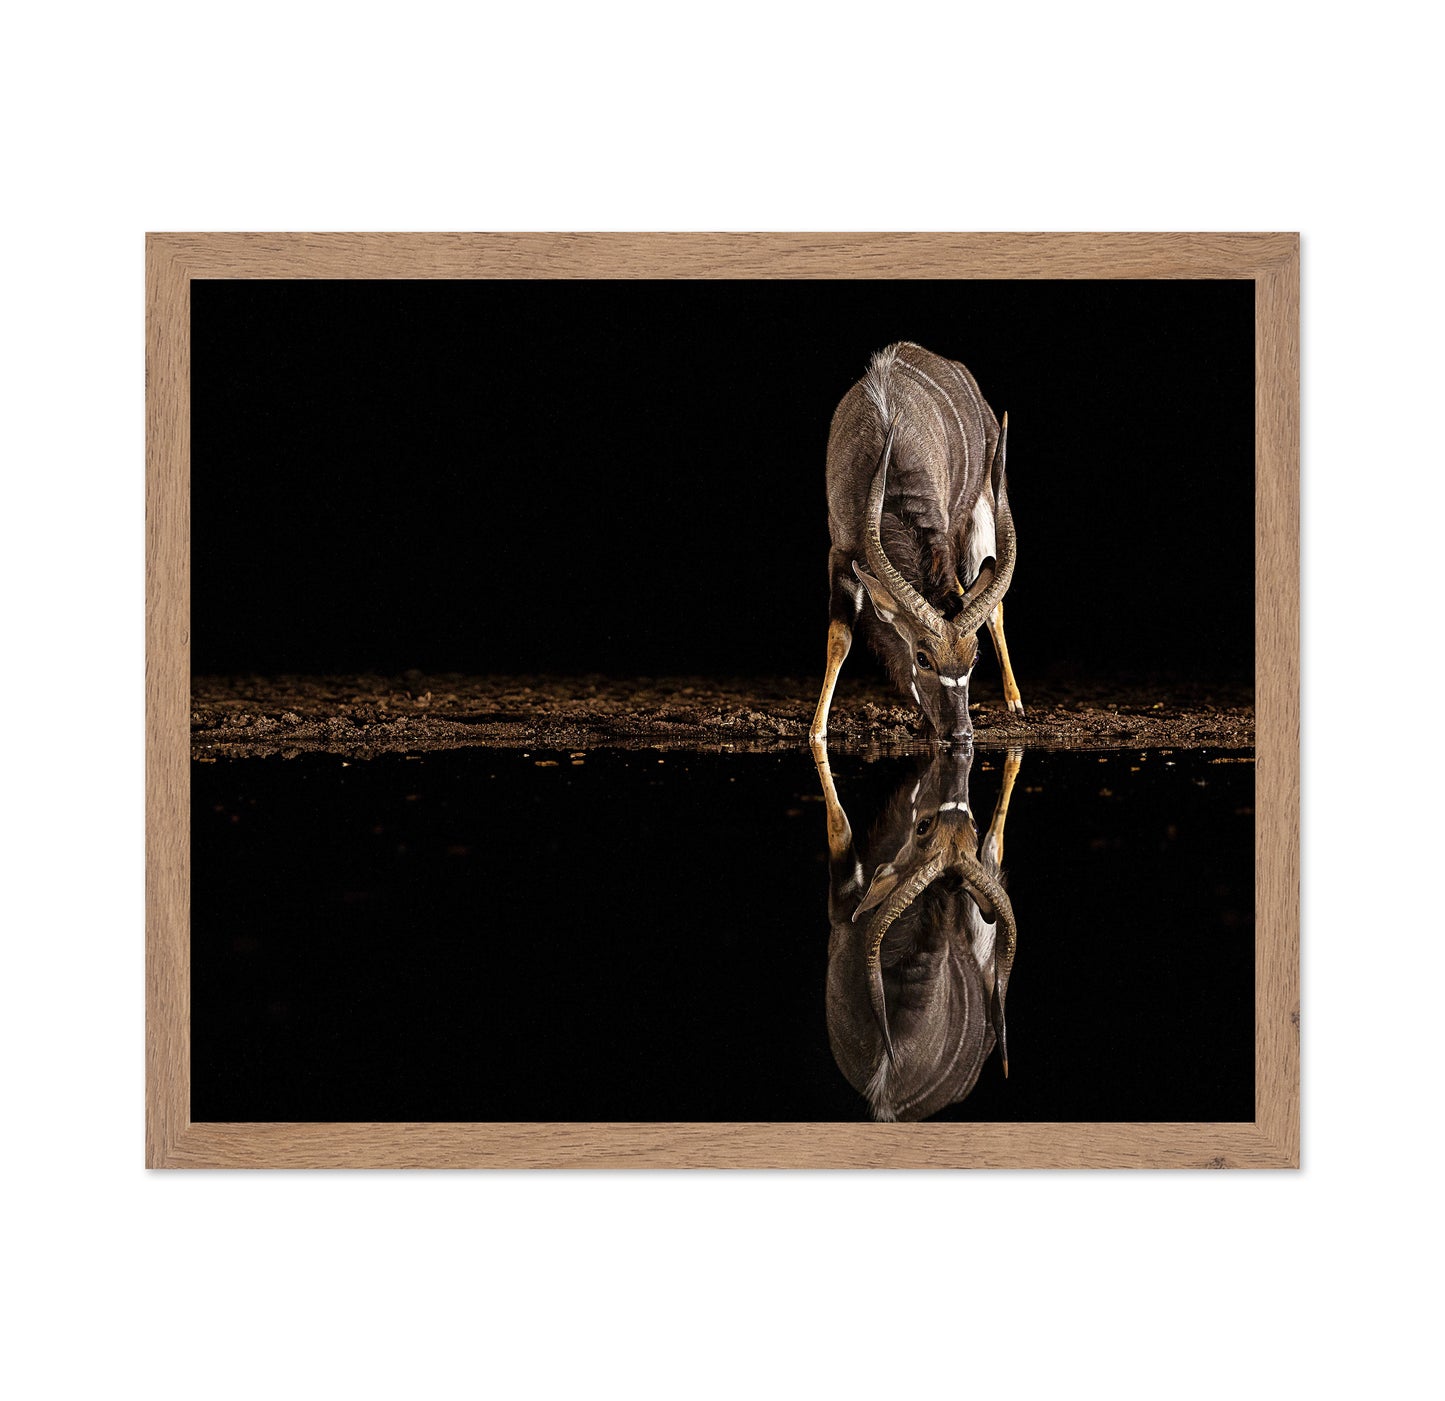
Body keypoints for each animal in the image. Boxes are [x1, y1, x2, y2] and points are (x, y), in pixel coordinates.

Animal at [809, 343, 1023, 745]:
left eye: (974, 659)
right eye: (922, 658)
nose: (961, 733)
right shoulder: (840, 553)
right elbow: (839, 638)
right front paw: (816, 732)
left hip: (983, 508)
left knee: (993, 606)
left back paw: (1016, 703)